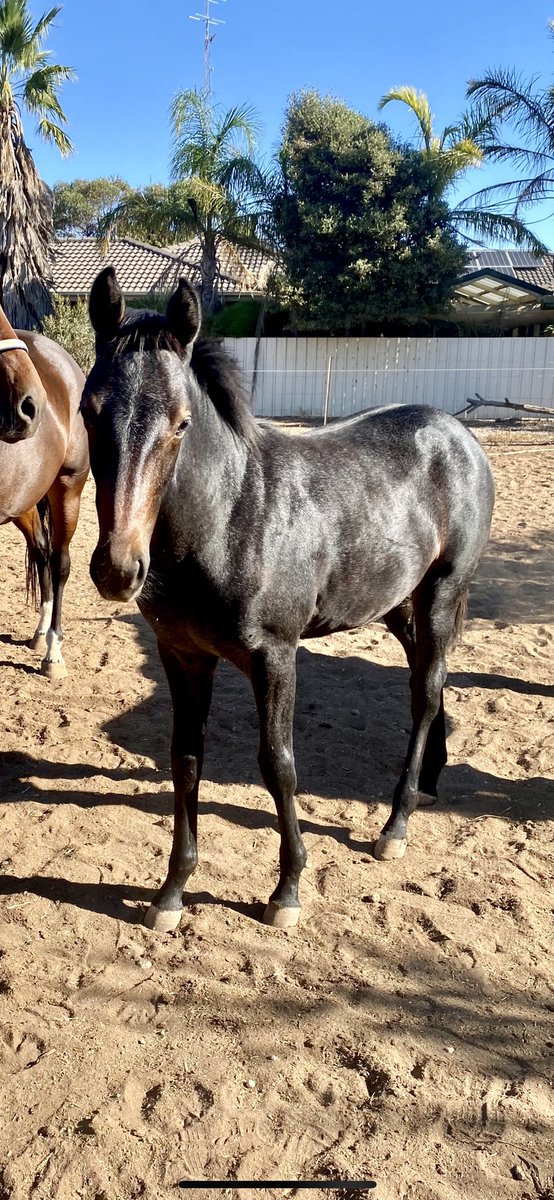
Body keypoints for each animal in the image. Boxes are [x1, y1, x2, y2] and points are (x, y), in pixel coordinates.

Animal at [82, 266, 495, 932]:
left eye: (182, 422)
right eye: (90, 411)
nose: (118, 569)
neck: (229, 518)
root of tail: (458, 433)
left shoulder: (275, 656)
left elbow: (278, 764)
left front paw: (287, 891)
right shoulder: (182, 656)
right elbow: (185, 760)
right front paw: (171, 893)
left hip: (441, 593)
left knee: (425, 696)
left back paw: (396, 825)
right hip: (396, 605)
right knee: (430, 684)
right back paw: (430, 782)